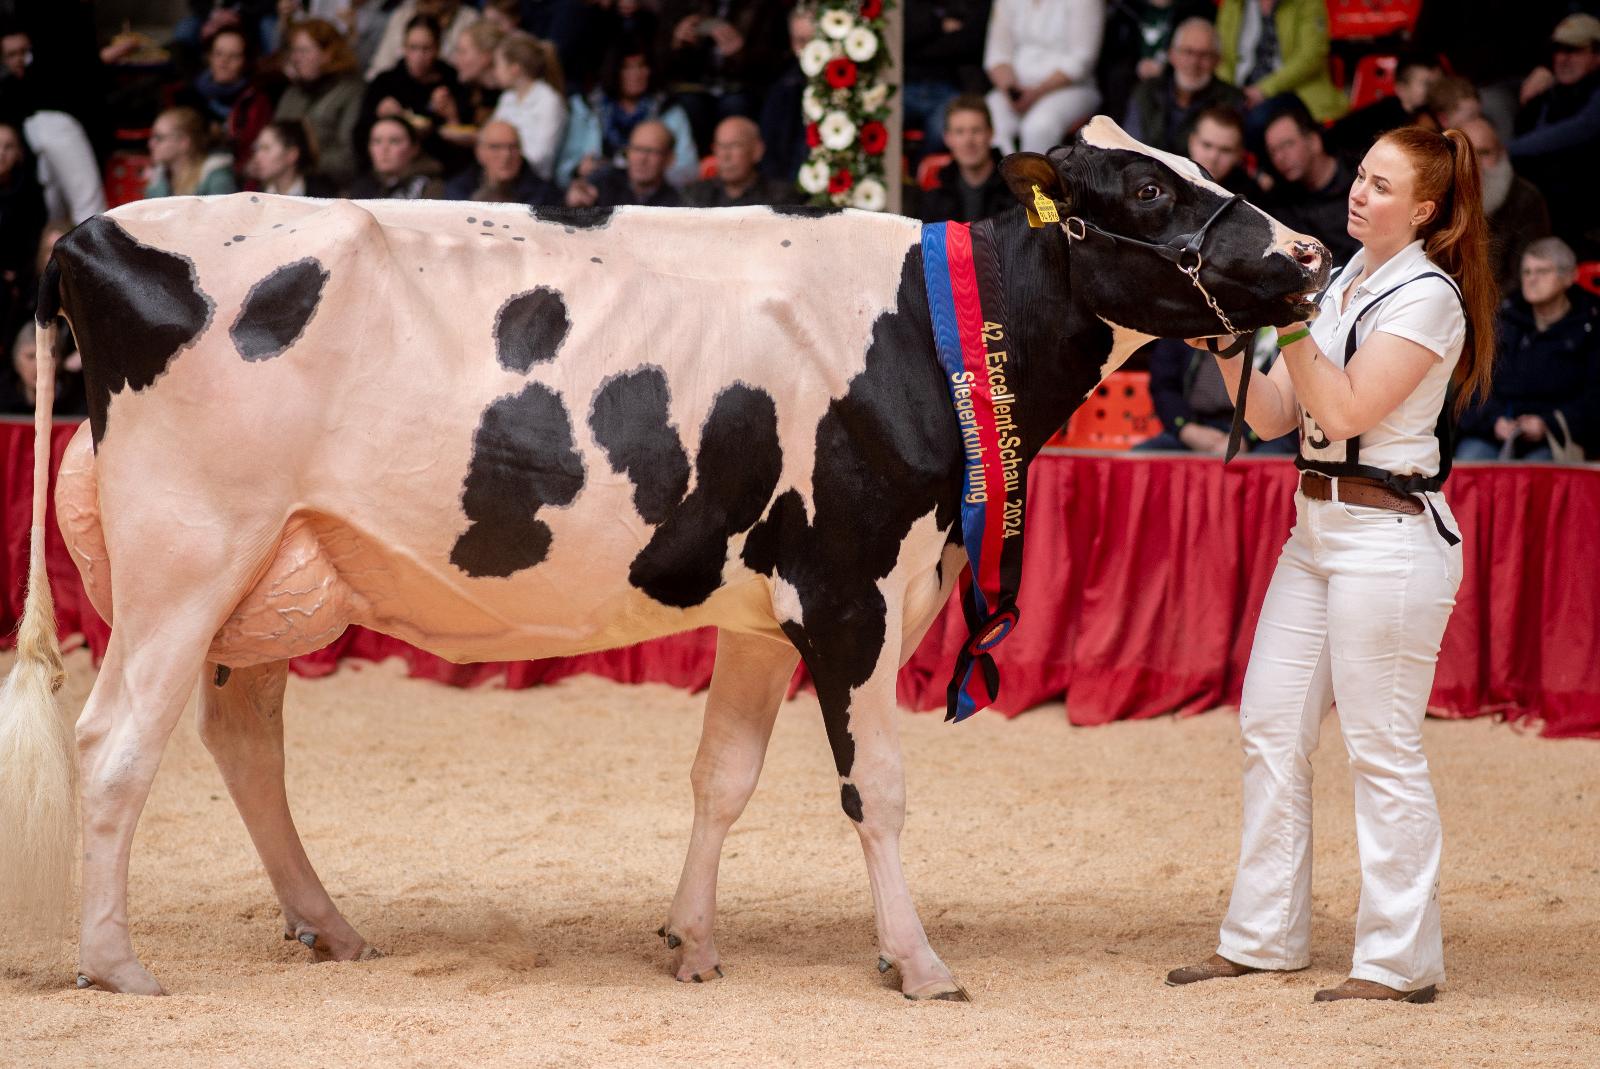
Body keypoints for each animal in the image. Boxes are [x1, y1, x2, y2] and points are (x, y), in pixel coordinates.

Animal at [0, 118, 1327, 999]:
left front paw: (692, 940)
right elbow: (877, 788)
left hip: (275, 568)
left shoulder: (761, 610)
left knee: (242, 740)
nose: (1311, 256)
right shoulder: (850, 591)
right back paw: (115, 963)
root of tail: (94, 232)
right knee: (115, 743)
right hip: (188, 552)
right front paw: (917, 959)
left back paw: (328, 923)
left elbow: (720, 777)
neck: (932, 322)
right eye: (1146, 184)